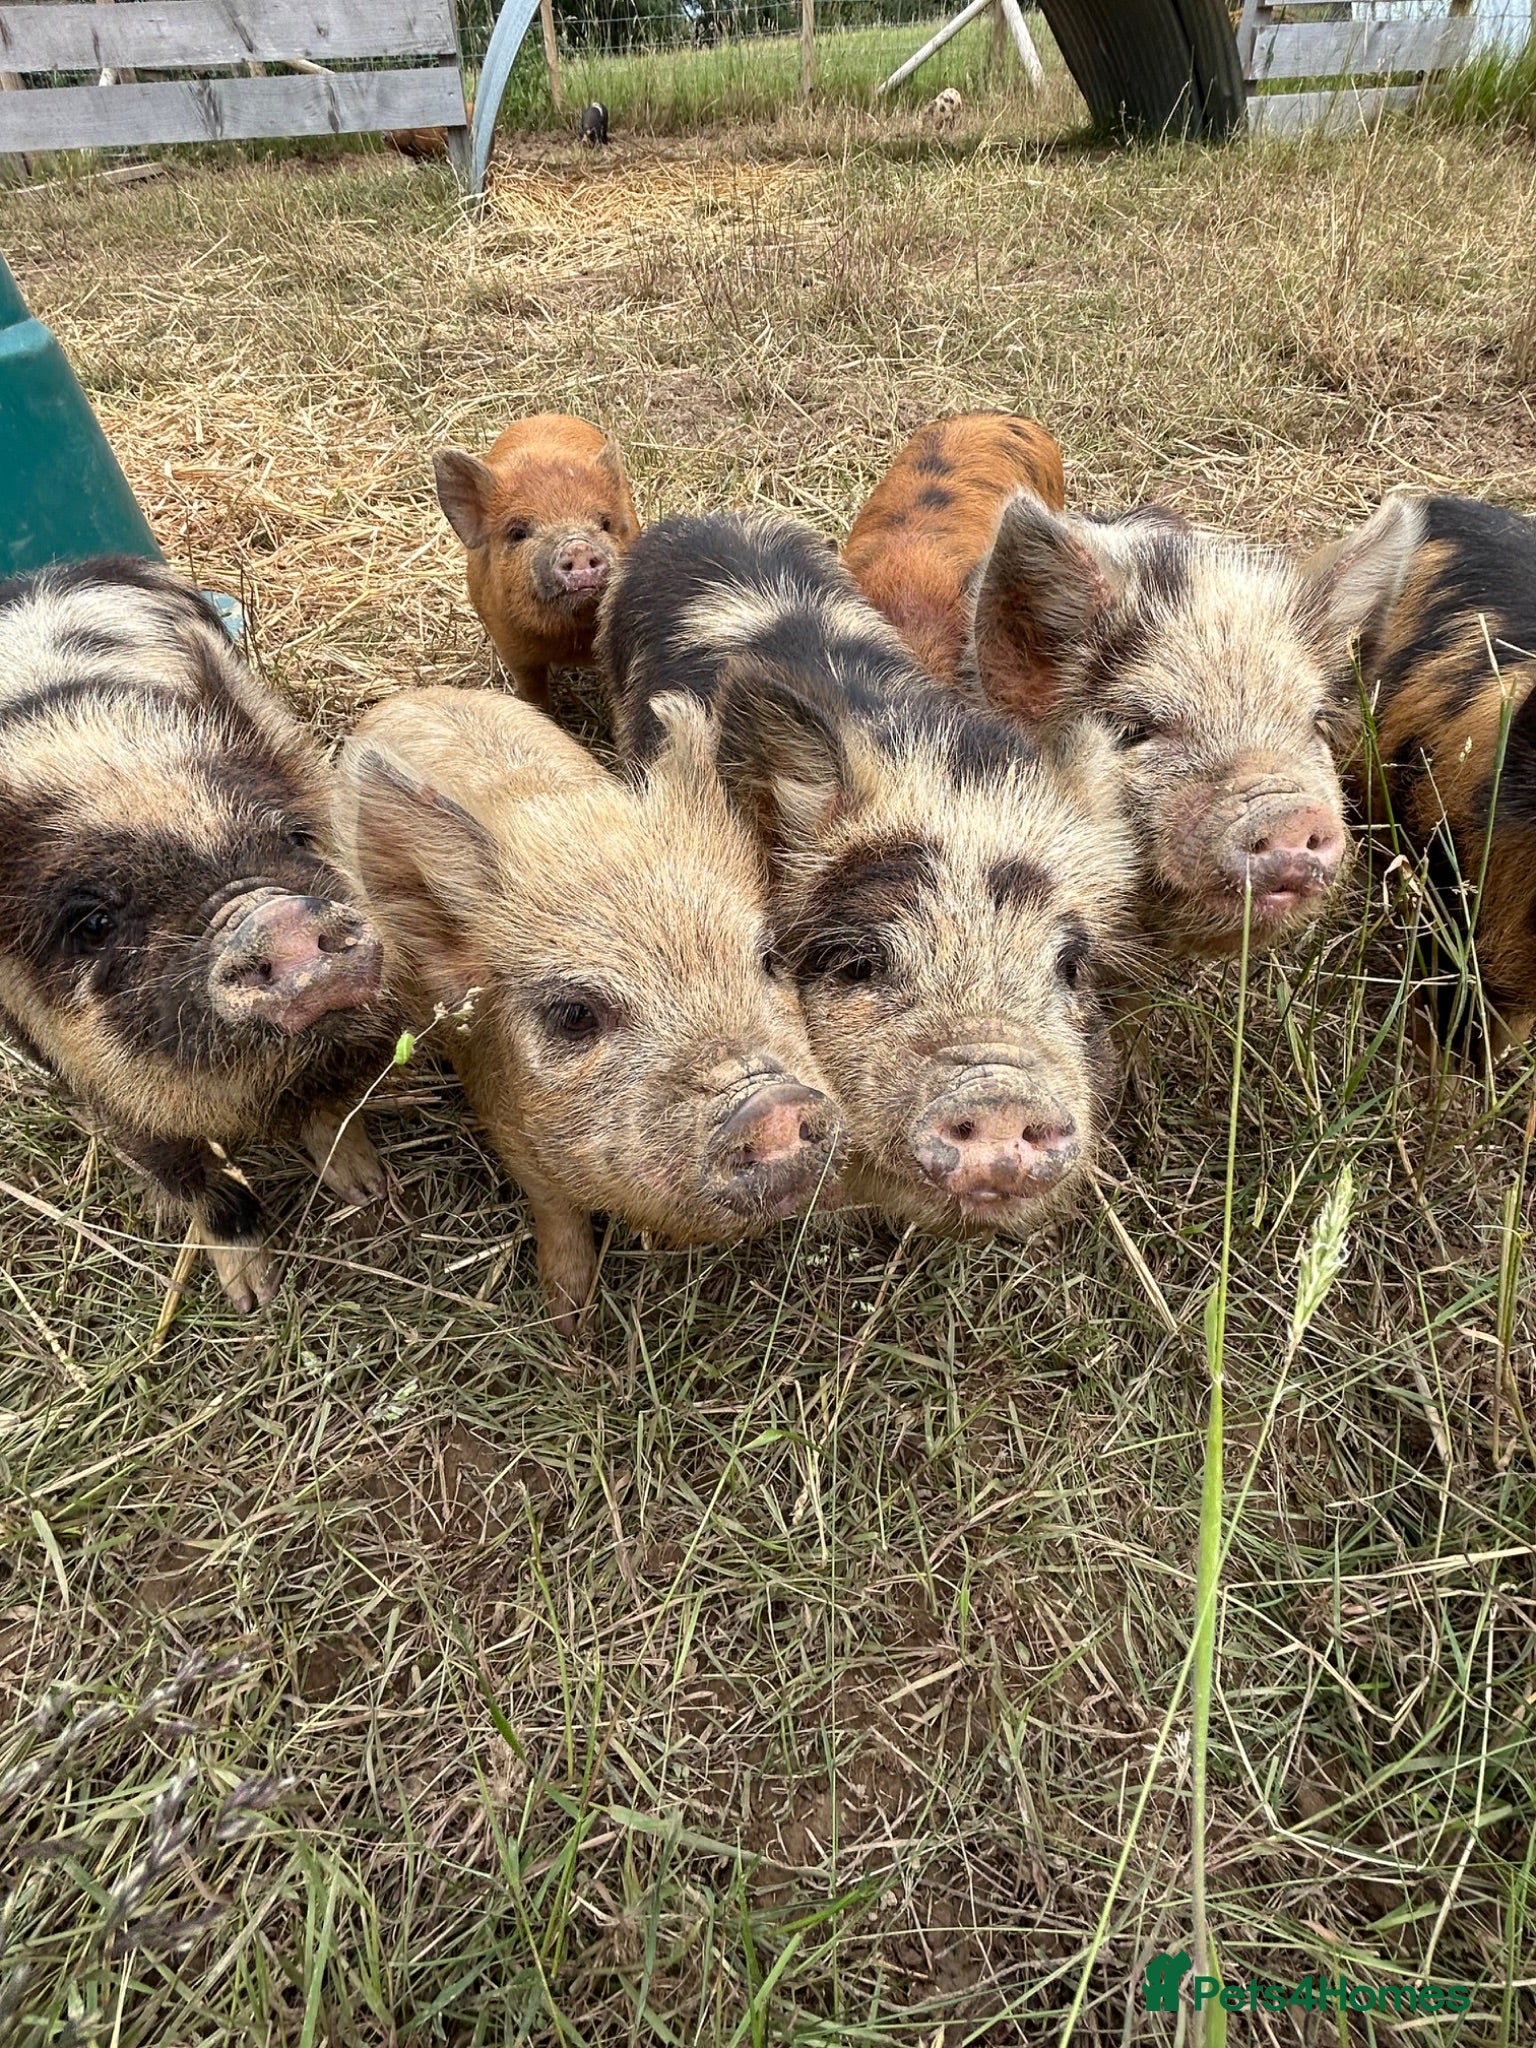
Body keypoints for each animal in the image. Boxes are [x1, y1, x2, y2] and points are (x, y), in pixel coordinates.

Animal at [0, 557, 390, 1310]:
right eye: (93, 922)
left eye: (297, 837)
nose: (275, 916)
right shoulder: (96, 1086)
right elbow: (190, 1178)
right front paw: (253, 1300)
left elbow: (334, 1106)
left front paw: (367, 1193)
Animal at [335, 685, 843, 1333]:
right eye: (574, 1015)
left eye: (769, 957)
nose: (770, 1102)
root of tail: (411, 694)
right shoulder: (512, 1138)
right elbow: (558, 1217)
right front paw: (569, 1326)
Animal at [432, 415, 639, 710]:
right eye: (518, 532)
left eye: (605, 523)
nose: (578, 547)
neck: (569, 641)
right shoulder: (512, 649)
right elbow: (533, 695)